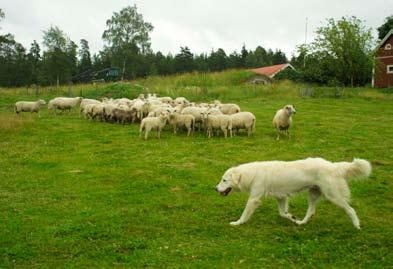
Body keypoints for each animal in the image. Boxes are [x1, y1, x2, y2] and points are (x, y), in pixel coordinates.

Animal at [216, 157, 372, 228]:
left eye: (224, 180)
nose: (215, 189)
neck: (252, 174)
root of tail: (333, 166)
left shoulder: (254, 199)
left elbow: (244, 214)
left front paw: (237, 223)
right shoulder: (281, 197)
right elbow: (282, 213)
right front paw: (291, 217)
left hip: (333, 196)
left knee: (350, 209)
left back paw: (357, 226)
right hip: (313, 194)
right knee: (311, 211)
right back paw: (301, 222)